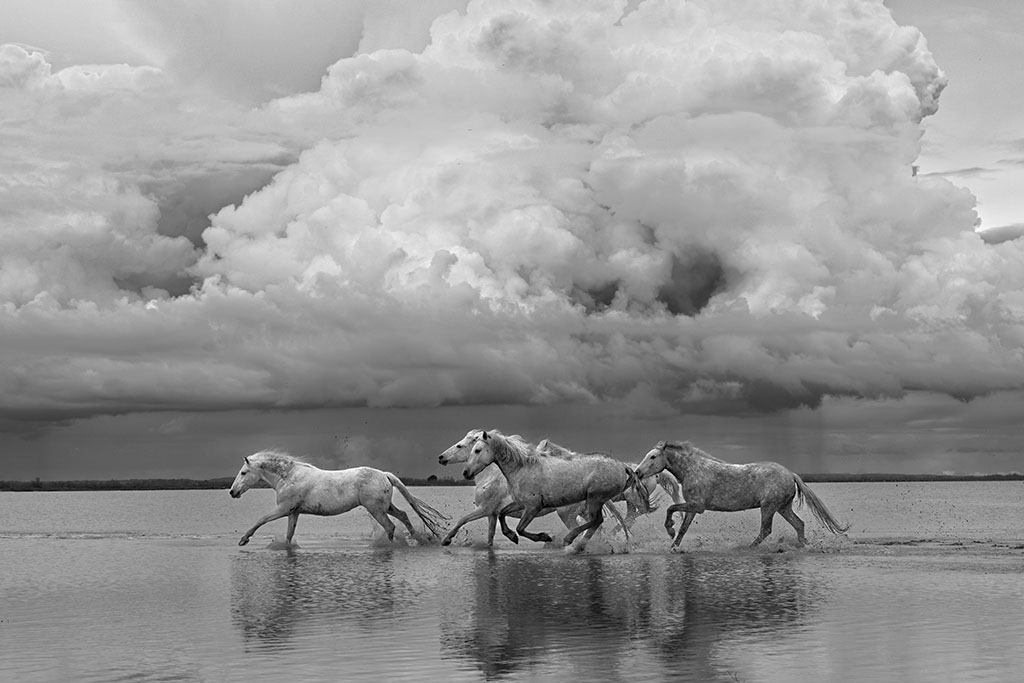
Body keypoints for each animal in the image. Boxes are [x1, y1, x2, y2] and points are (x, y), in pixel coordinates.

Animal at [229, 449, 449, 546]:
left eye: (243, 473)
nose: (232, 492)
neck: (289, 477)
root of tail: (384, 474)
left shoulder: (283, 509)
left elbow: (261, 520)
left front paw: (243, 539)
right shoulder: (293, 512)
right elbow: (289, 535)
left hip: (376, 509)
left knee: (390, 526)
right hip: (385, 507)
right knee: (403, 515)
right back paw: (418, 539)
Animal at [437, 430, 632, 546]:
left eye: (464, 447)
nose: (441, 457)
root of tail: (622, 467)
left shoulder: (490, 509)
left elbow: (463, 520)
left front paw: (446, 539)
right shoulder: (497, 512)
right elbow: (494, 531)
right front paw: (510, 537)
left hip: (571, 511)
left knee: (593, 524)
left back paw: (570, 542)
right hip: (586, 508)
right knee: (597, 526)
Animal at [634, 440, 850, 549]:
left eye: (653, 456)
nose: (637, 472)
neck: (692, 470)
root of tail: (790, 474)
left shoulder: (697, 506)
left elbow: (671, 509)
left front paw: (670, 530)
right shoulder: (693, 507)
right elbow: (683, 528)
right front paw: (674, 545)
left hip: (769, 507)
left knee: (766, 530)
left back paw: (748, 547)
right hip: (782, 507)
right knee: (799, 524)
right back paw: (802, 545)